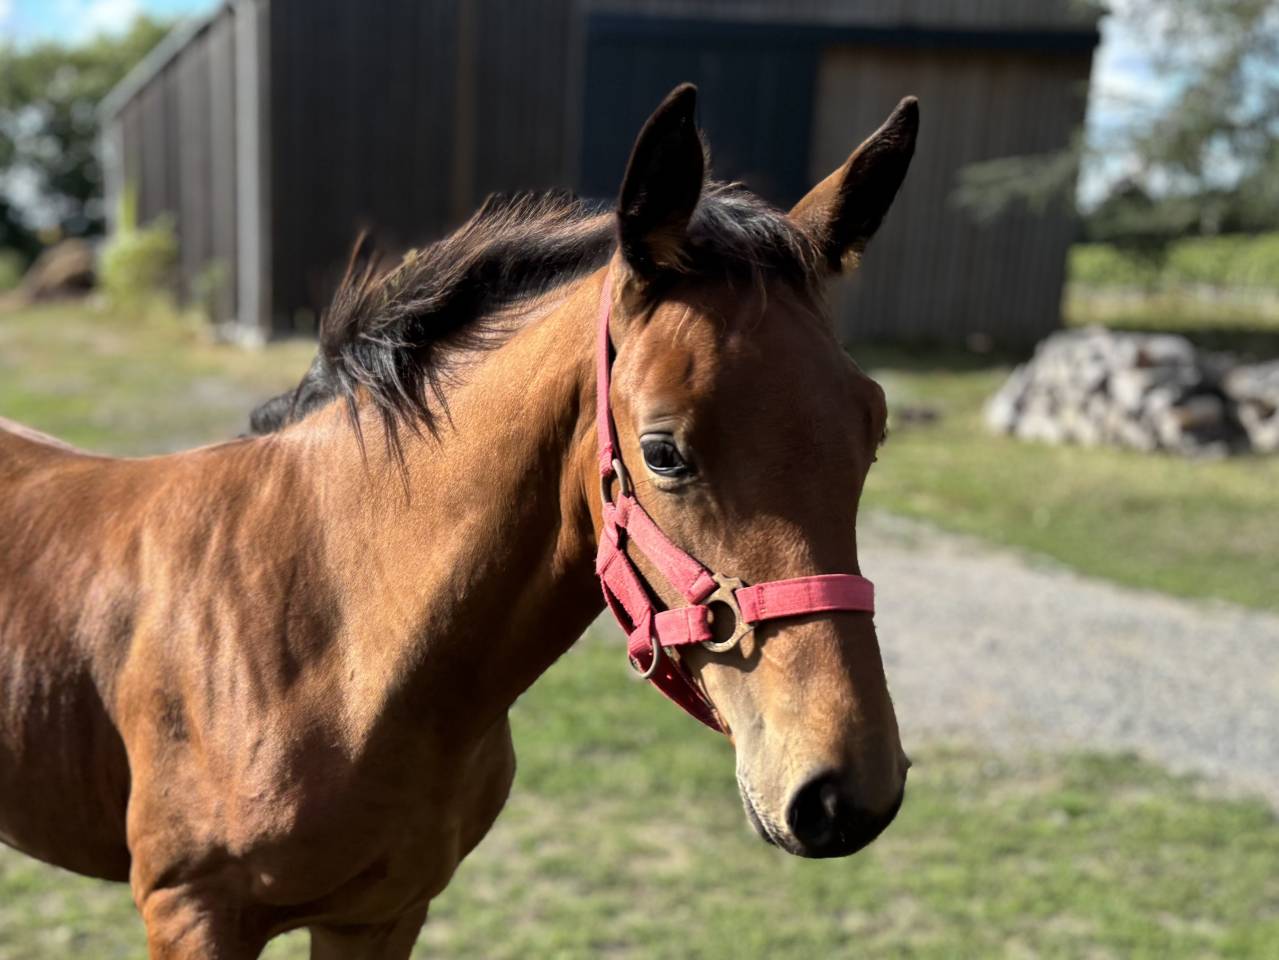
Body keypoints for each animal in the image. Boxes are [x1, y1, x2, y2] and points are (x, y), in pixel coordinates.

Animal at [0, 84, 918, 958]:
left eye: (872, 429)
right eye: (662, 452)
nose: (844, 794)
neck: (332, 645)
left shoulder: (381, 914)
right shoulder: (192, 914)